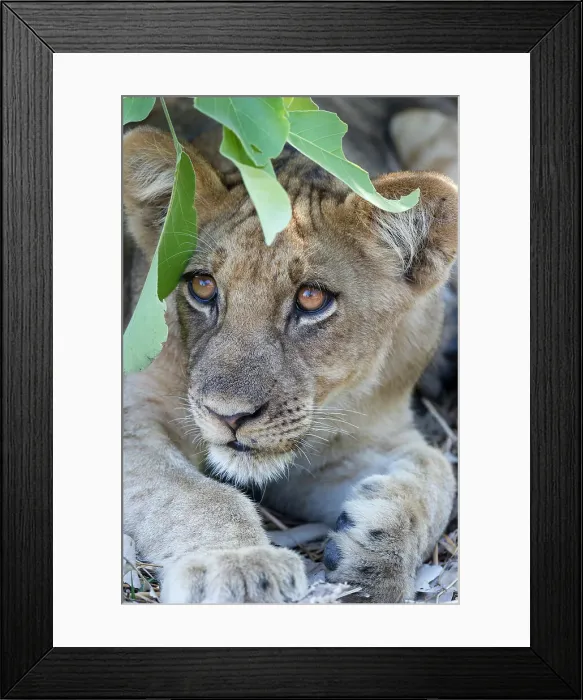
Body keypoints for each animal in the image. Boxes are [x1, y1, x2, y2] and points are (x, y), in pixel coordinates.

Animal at [123, 125, 458, 603]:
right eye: (202, 286)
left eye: (311, 298)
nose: (229, 417)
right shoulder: (135, 415)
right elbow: (192, 494)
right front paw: (241, 569)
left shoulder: (351, 444)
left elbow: (436, 471)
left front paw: (374, 568)